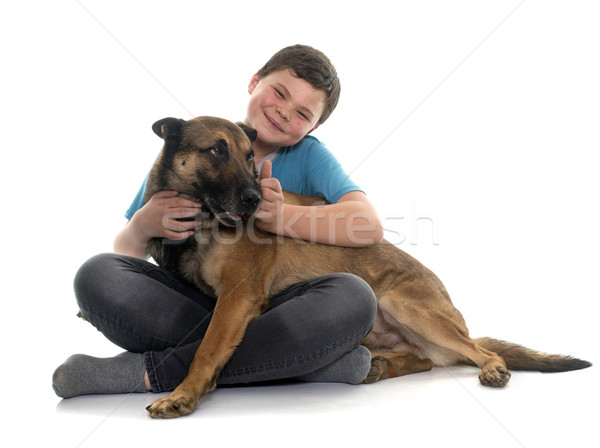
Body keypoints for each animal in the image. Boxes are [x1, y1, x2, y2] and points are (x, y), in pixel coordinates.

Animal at [142, 114, 592, 416]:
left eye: (251, 157)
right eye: (216, 150)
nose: (256, 199)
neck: (203, 220)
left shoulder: (238, 296)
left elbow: (208, 348)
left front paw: (183, 394)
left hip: (401, 301)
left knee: (478, 349)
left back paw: (492, 368)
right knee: (425, 359)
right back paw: (380, 367)